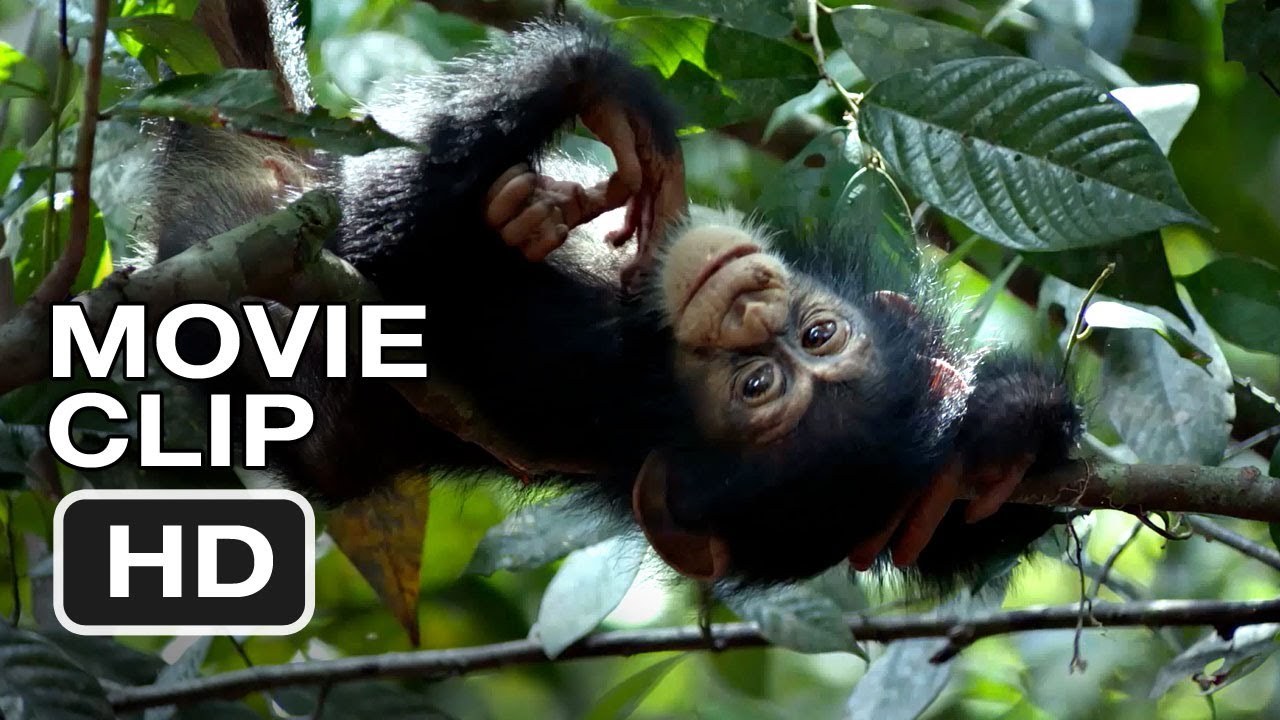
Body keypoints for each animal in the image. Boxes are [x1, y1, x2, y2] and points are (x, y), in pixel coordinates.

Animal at [142, 0, 1081, 590]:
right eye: (817, 337)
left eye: (756, 388)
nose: (751, 310)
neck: (648, 360)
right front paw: (1012, 422)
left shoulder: (556, 360)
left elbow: (389, 251)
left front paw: (581, 79)